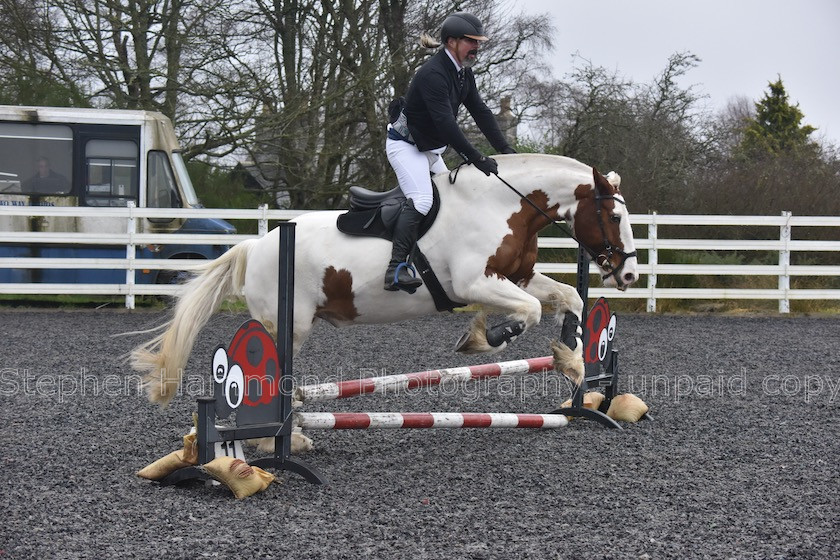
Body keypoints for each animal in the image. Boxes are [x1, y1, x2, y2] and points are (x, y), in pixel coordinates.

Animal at [133, 153, 636, 416]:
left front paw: (571, 359)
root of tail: (255, 245)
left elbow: (569, 299)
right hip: (287, 325)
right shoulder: (474, 283)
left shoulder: (519, 276)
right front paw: (482, 338)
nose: (628, 273)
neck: (501, 206)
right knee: (274, 376)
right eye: (613, 216)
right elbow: (525, 313)